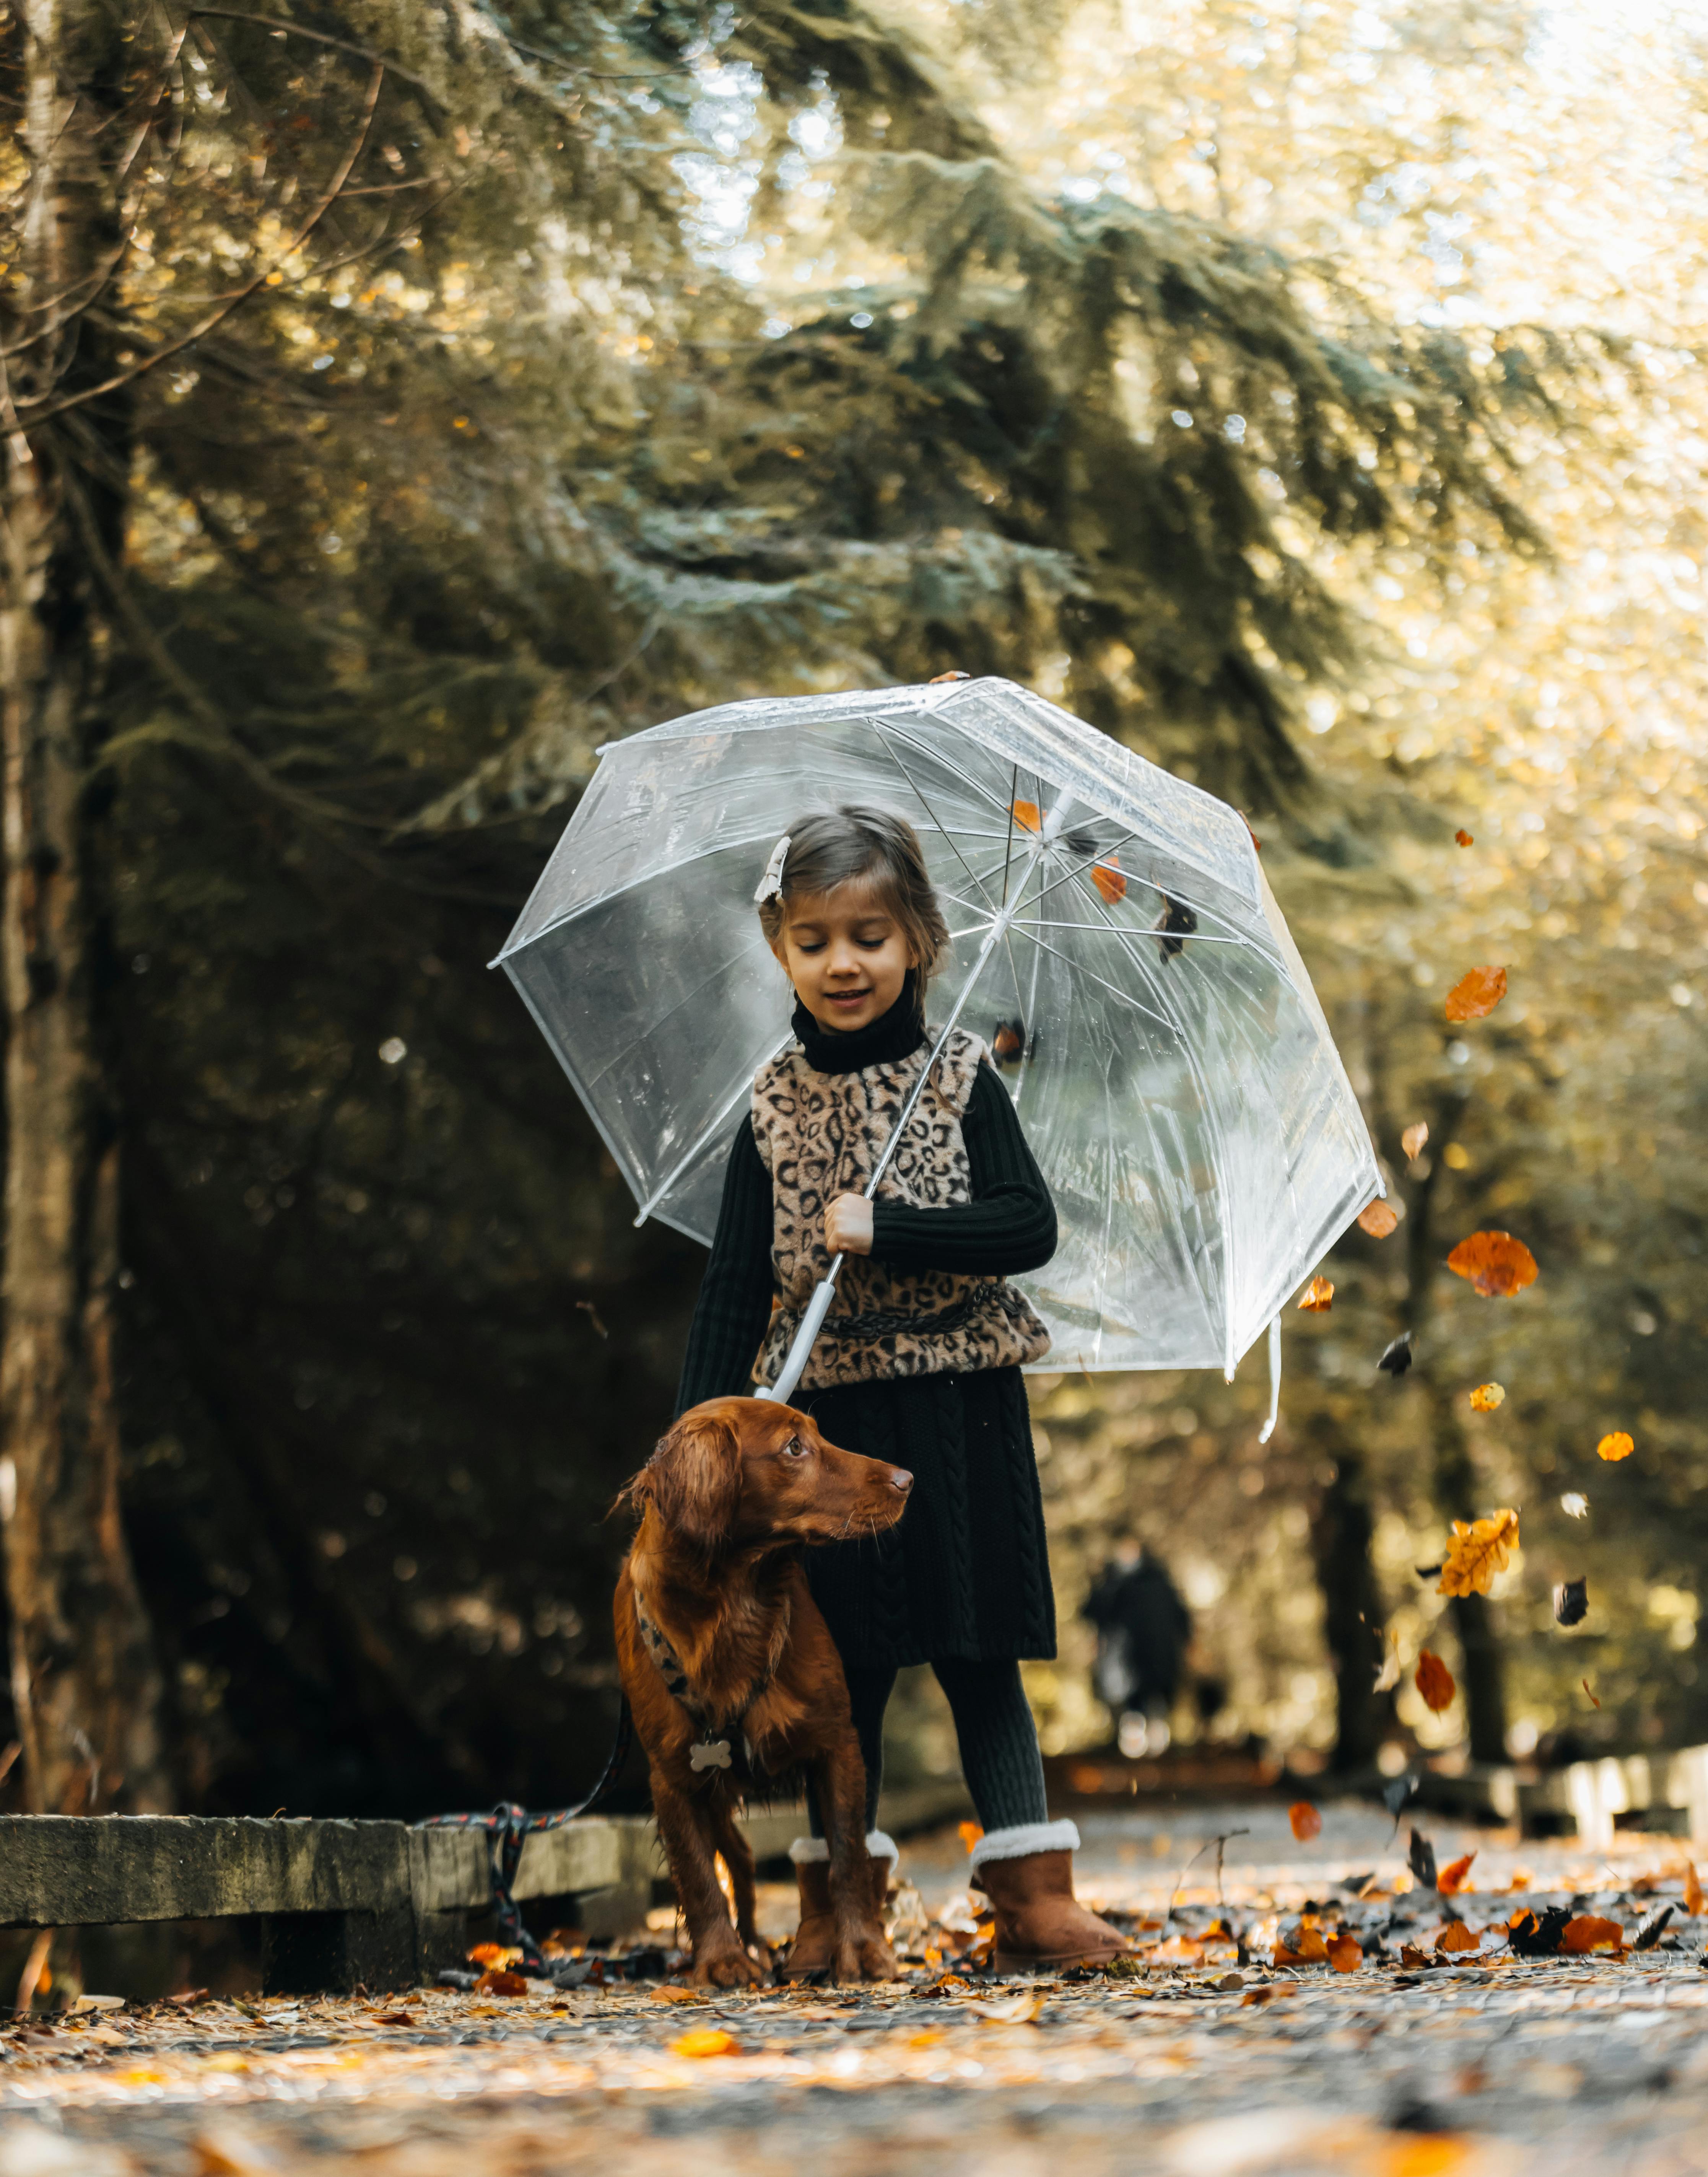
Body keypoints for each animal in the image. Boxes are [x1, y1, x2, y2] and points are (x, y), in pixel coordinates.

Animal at [609, 1393, 905, 1994]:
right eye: (794, 1447)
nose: (907, 1480)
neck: (732, 1608)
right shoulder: (673, 1778)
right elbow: (698, 1876)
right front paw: (721, 1960)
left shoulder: (838, 1744)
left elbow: (848, 1855)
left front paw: (862, 1950)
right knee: (736, 1859)